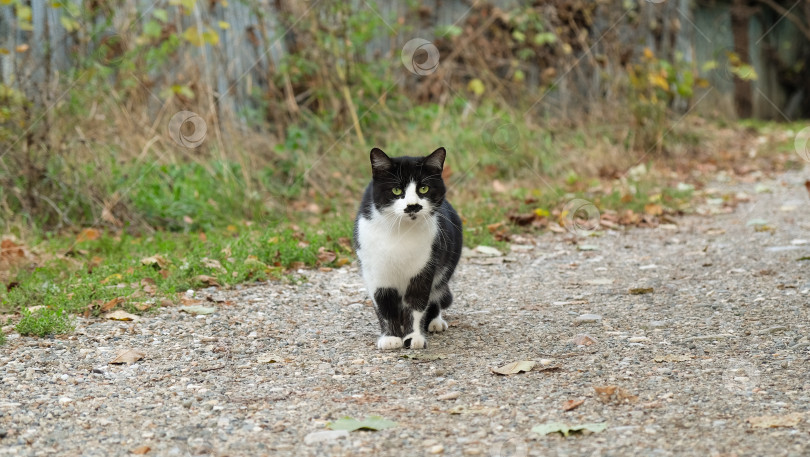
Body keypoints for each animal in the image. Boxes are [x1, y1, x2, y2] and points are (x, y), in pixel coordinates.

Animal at [352, 146, 460, 350]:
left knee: (436, 293)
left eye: (424, 188)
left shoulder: (424, 267)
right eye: (396, 189)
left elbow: (417, 303)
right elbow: (384, 305)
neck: (400, 232)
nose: (413, 205)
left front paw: (413, 337)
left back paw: (435, 322)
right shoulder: (376, 271)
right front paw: (390, 338)